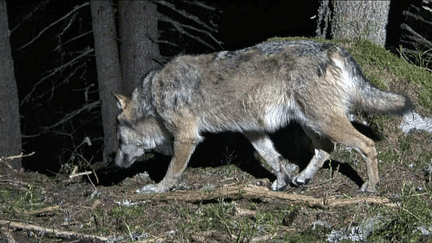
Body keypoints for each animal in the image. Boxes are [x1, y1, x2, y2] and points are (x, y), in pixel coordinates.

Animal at [113, 39, 414, 194]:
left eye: (117, 139)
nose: (115, 163)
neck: (153, 96)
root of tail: (331, 48)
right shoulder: (253, 131)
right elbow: (274, 159)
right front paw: (281, 181)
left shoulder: (186, 138)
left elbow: (172, 172)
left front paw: (158, 189)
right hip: (311, 123)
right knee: (325, 149)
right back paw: (303, 178)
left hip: (324, 122)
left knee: (367, 145)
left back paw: (371, 186)